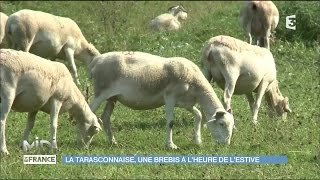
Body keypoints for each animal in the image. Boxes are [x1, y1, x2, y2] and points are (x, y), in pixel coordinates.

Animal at [89, 51, 234, 149]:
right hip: (100, 92)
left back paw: (112, 142)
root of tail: (97, 60)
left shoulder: (186, 102)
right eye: (221, 124)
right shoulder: (169, 97)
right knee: (89, 111)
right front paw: (170, 145)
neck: (195, 83)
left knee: (105, 117)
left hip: (112, 98)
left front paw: (198, 141)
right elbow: (170, 122)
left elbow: (198, 115)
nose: (226, 144)